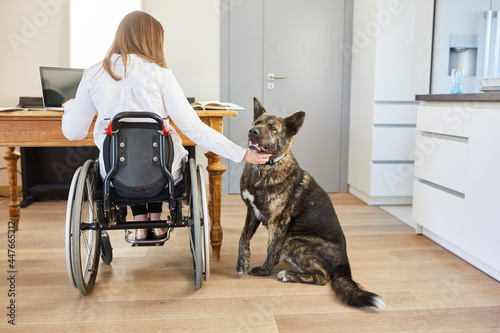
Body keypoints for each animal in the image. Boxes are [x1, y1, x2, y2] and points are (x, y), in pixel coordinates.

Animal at [236, 97, 384, 308]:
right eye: (257, 123)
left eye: (272, 128)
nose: (252, 132)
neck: (263, 168)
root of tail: (344, 262)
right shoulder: (251, 212)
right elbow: (243, 238)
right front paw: (242, 262)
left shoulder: (278, 221)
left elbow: (271, 249)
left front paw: (264, 270)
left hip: (292, 242)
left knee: (322, 277)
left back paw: (288, 274)